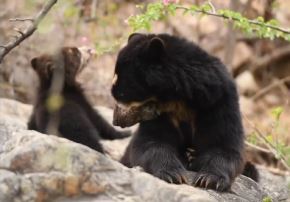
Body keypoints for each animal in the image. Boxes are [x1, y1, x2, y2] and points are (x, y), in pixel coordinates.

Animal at [111, 33, 258, 191]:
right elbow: (150, 142)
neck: (179, 101)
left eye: (121, 93)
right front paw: (173, 174)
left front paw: (209, 179)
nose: (116, 120)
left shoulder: (218, 103)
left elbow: (225, 145)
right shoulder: (162, 116)